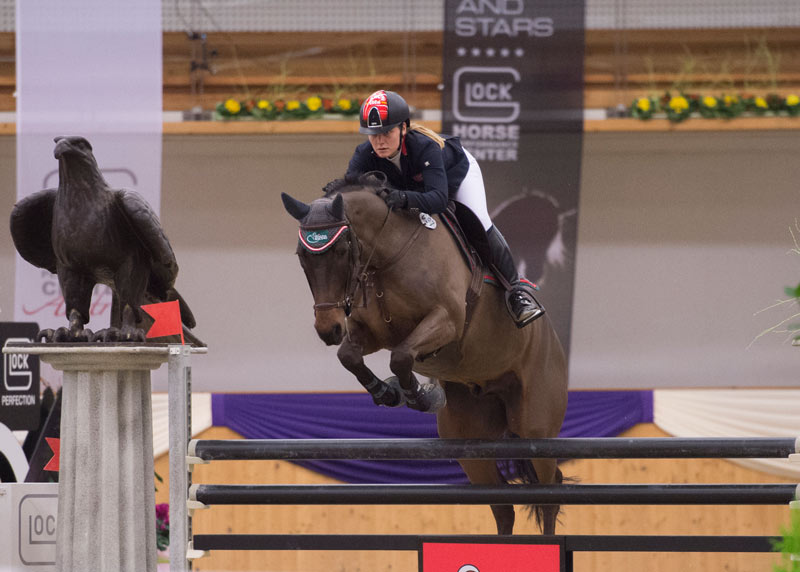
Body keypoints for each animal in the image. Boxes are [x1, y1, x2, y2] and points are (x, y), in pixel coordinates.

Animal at [282, 179, 568, 536]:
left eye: (342, 251)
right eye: (302, 257)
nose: (328, 329)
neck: (387, 254)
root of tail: (553, 340)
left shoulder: (446, 321)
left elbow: (402, 355)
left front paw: (420, 396)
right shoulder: (372, 333)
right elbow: (350, 356)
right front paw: (388, 392)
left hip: (535, 427)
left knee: (548, 494)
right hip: (470, 441)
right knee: (503, 505)